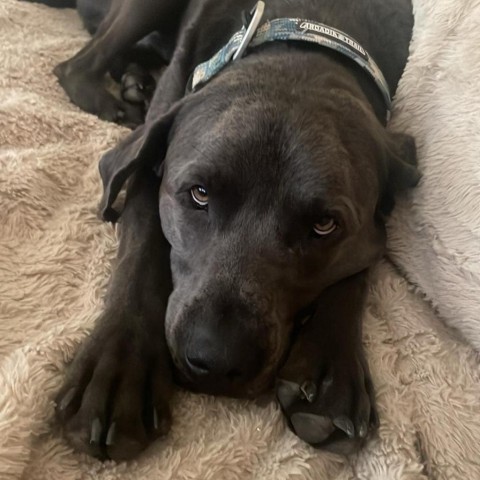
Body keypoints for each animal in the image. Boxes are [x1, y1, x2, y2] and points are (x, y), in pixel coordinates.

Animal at [28, 0, 418, 462]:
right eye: (199, 194)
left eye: (324, 225)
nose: (214, 359)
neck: (312, 27)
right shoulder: (151, 166)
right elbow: (142, 246)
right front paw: (119, 366)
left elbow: (356, 268)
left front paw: (331, 373)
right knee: (76, 64)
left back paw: (135, 78)